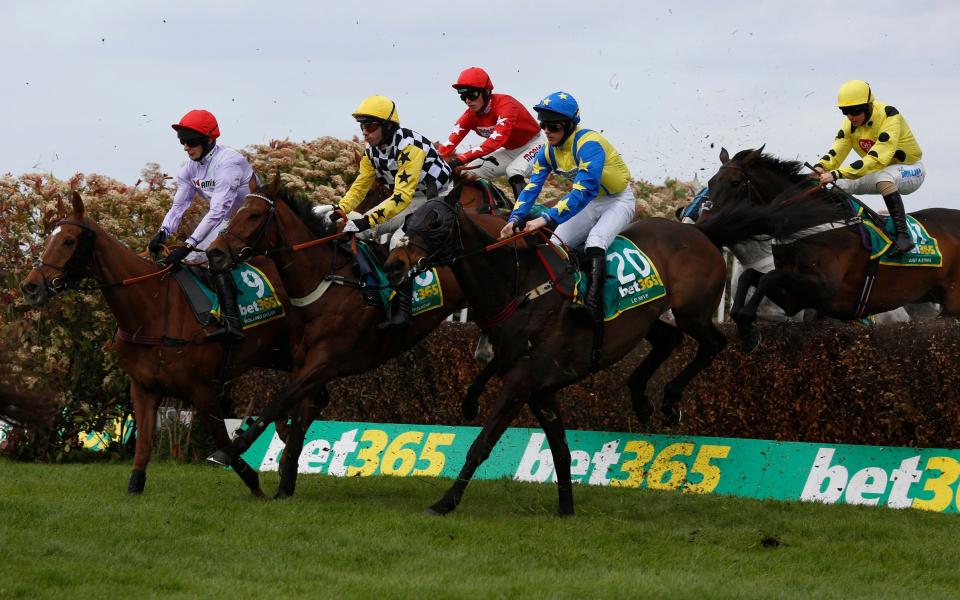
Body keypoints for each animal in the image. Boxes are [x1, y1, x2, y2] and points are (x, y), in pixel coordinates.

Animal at [21, 192, 300, 496]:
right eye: (51, 238)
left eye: (69, 241)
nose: (30, 286)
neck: (154, 309)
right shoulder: (143, 389)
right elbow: (143, 445)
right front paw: (135, 486)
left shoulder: (203, 391)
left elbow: (223, 441)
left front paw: (256, 485)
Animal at [203, 180, 510, 500]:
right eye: (235, 212)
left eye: (254, 215)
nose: (214, 253)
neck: (325, 283)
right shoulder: (304, 364)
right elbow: (297, 419)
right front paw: (285, 485)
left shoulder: (325, 362)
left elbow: (279, 402)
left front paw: (229, 450)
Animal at [378, 188, 724, 516]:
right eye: (409, 219)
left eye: (435, 221)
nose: (394, 265)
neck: (519, 289)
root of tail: (700, 231)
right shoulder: (540, 391)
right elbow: (560, 451)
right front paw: (566, 509)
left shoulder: (521, 383)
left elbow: (482, 444)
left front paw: (445, 503)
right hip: (648, 319)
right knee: (670, 339)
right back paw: (641, 399)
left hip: (692, 311)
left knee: (714, 344)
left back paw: (670, 400)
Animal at [700, 147, 960, 350]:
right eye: (711, 182)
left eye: (735, 183)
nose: (704, 224)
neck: (810, 223)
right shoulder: (794, 299)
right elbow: (750, 277)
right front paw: (745, 329)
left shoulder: (825, 289)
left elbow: (769, 277)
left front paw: (748, 325)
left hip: (951, 305)